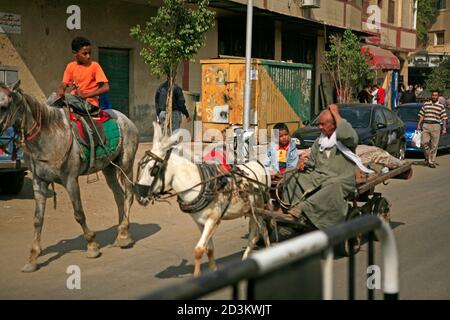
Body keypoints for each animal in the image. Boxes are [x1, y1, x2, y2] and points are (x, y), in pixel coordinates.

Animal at [0, 81, 139, 272]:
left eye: (3, 106)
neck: (48, 137)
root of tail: (127, 120)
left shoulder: (70, 180)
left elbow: (79, 213)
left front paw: (92, 246)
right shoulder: (39, 181)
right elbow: (37, 219)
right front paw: (33, 258)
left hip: (126, 164)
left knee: (129, 195)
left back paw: (124, 234)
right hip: (109, 168)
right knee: (119, 196)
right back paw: (122, 233)